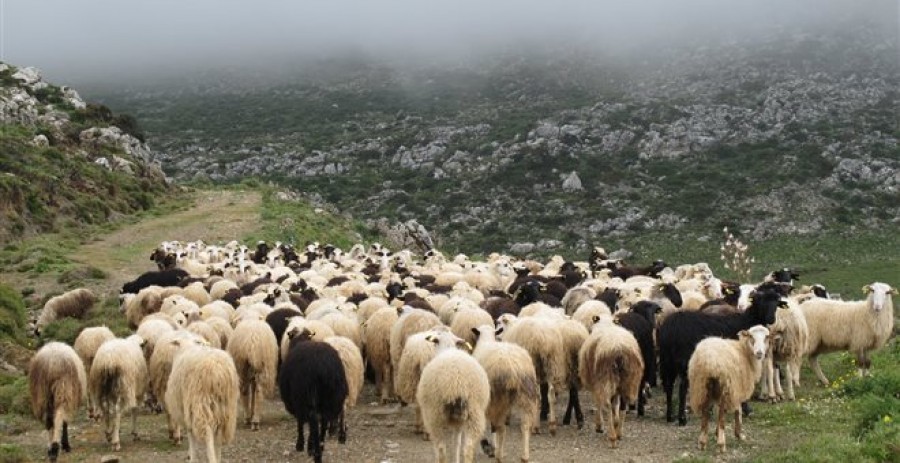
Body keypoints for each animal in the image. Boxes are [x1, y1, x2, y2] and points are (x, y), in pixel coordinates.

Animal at [416, 330, 488, 463]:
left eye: (435, 341)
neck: (447, 347)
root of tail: (457, 382)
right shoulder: (458, 421)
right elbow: (456, 444)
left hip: (435, 415)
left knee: (441, 449)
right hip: (474, 413)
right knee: (468, 448)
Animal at [652, 290, 780, 428]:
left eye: (776, 303)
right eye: (761, 301)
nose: (771, 319)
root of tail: (671, 326)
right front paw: (746, 408)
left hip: (667, 359)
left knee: (669, 386)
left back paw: (669, 416)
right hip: (683, 360)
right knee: (682, 388)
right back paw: (682, 419)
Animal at [684, 326, 768, 454]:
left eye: (766, 337)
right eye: (751, 336)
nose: (759, 353)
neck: (744, 352)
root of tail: (709, 362)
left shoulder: (732, 390)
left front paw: (716, 433)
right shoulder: (736, 389)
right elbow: (738, 411)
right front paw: (739, 434)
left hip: (702, 387)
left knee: (705, 413)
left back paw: (702, 442)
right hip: (724, 386)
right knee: (721, 416)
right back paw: (721, 444)